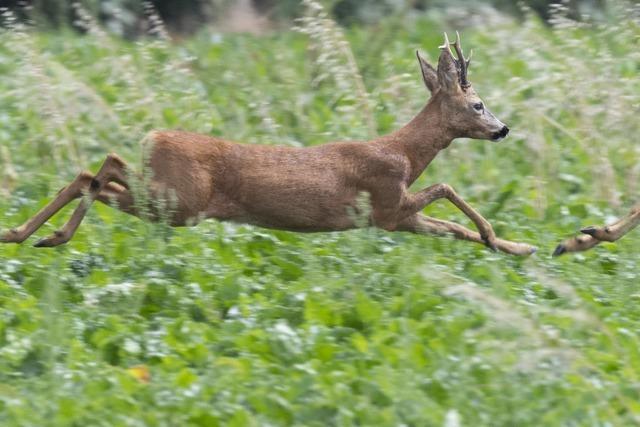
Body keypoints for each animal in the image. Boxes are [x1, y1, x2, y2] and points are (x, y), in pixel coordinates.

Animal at [1, 33, 536, 256]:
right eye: (478, 105)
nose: (504, 129)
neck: (403, 153)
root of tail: (153, 136)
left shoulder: (395, 219)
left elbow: (454, 228)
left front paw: (516, 247)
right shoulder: (386, 202)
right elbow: (447, 189)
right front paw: (502, 238)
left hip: (171, 199)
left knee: (95, 173)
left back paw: (28, 234)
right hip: (180, 201)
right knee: (101, 171)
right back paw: (43, 235)